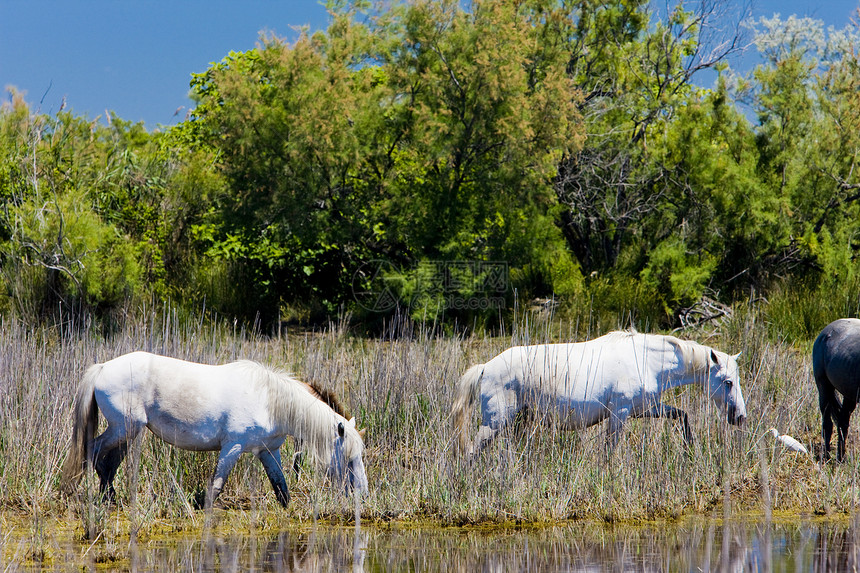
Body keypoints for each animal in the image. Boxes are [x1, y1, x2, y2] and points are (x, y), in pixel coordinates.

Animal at [59, 350, 370, 508]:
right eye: (349, 459)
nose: (363, 496)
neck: (270, 401)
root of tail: (102, 367)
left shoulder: (268, 451)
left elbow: (280, 486)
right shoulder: (233, 447)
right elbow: (217, 485)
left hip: (127, 433)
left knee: (108, 463)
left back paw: (109, 498)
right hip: (124, 429)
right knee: (94, 452)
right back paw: (97, 497)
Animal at [450, 328, 744, 454]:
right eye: (728, 382)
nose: (739, 416)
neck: (646, 360)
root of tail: (485, 367)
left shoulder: (645, 409)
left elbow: (682, 416)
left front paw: (690, 448)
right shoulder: (620, 414)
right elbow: (609, 450)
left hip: (519, 421)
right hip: (496, 421)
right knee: (472, 451)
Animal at [812, 320, 860, 462]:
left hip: (849, 394)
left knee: (843, 423)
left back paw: (841, 458)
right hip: (823, 387)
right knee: (828, 424)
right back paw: (827, 457)